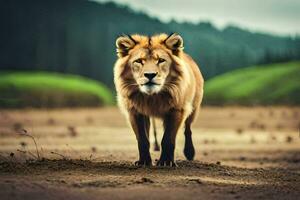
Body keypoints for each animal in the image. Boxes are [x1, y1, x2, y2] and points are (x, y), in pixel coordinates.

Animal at [114, 33, 204, 167]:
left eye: (161, 60)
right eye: (139, 61)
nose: (150, 75)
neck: (153, 97)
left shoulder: (177, 110)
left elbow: (168, 139)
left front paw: (166, 162)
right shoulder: (135, 112)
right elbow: (142, 140)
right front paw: (144, 161)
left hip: (194, 108)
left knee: (188, 129)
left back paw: (189, 153)